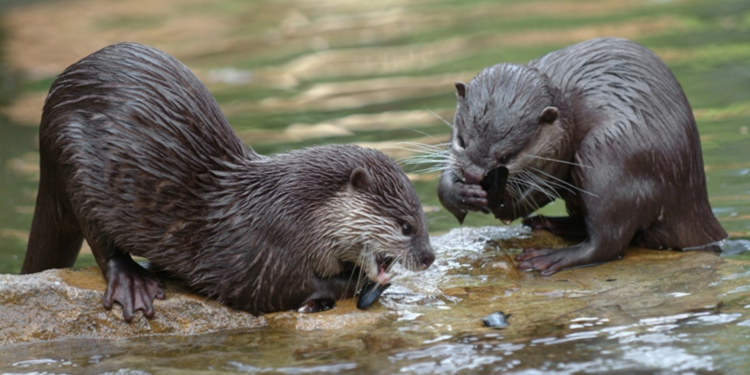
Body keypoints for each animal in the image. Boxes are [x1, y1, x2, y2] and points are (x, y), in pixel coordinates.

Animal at [22, 42, 434, 322]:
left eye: (423, 219)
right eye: (406, 226)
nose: (429, 257)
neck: (296, 210)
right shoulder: (267, 251)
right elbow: (277, 290)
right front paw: (345, 290)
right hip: (74, 165)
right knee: (103, 245)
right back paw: (134, 283)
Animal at [440, 38, 728, 276]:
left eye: (506, 157)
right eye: (462, 140)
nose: (472, 175)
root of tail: (693, 198)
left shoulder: (560, 153)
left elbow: (535, 193)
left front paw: (498, 204)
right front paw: (459, 193)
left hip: (607, 152)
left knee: (608, 242)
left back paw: (547, 258)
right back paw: (546, 224)